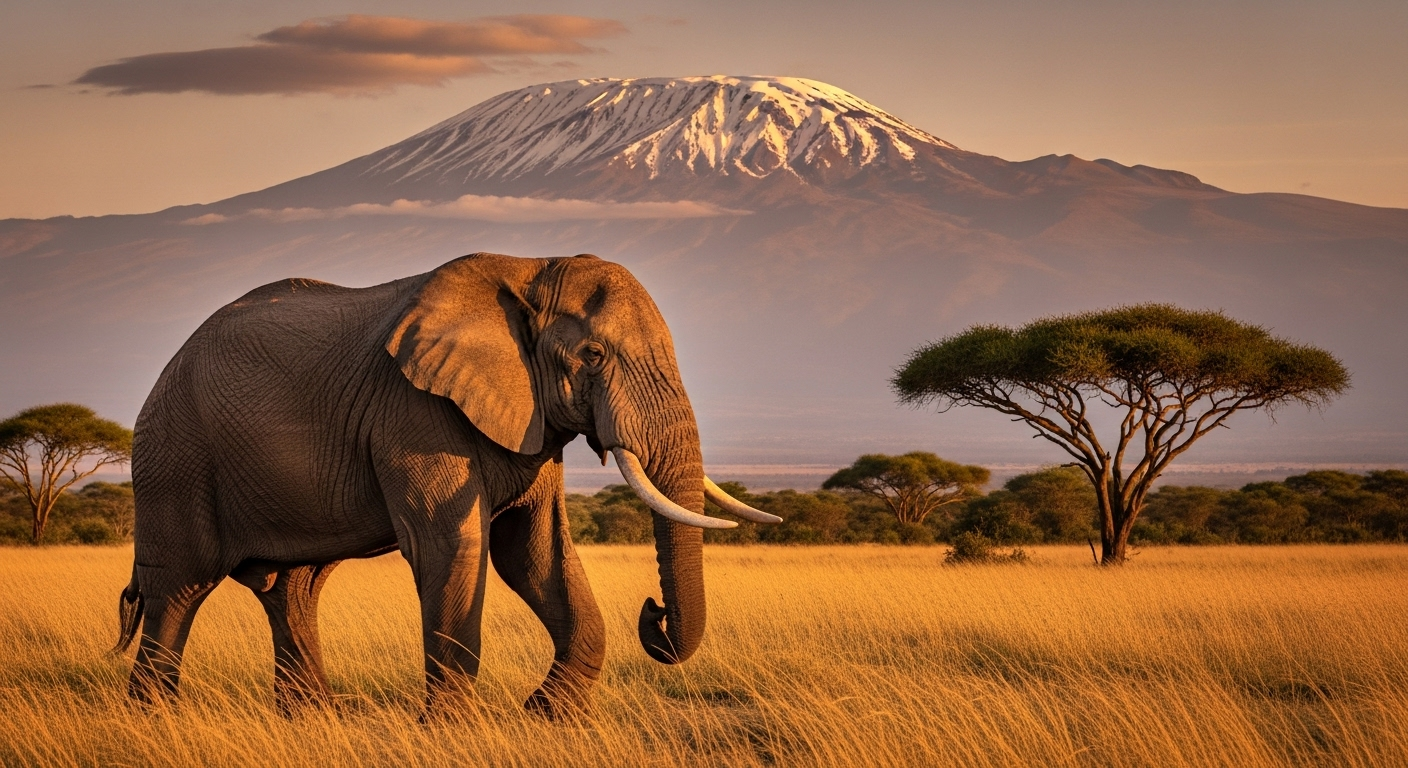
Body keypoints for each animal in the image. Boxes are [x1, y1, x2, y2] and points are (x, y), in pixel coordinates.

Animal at [112, 252, 779, 715]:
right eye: (592, 355)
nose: (654, 612)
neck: (529, 270)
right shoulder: (413, 409)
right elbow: (453, 546)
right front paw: (454, 730)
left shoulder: (529, 421)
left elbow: (534, 553)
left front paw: (544, 717)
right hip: (175, 456)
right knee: (179, 588)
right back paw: (156, 720)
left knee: (293, 588)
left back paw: (311, 719)